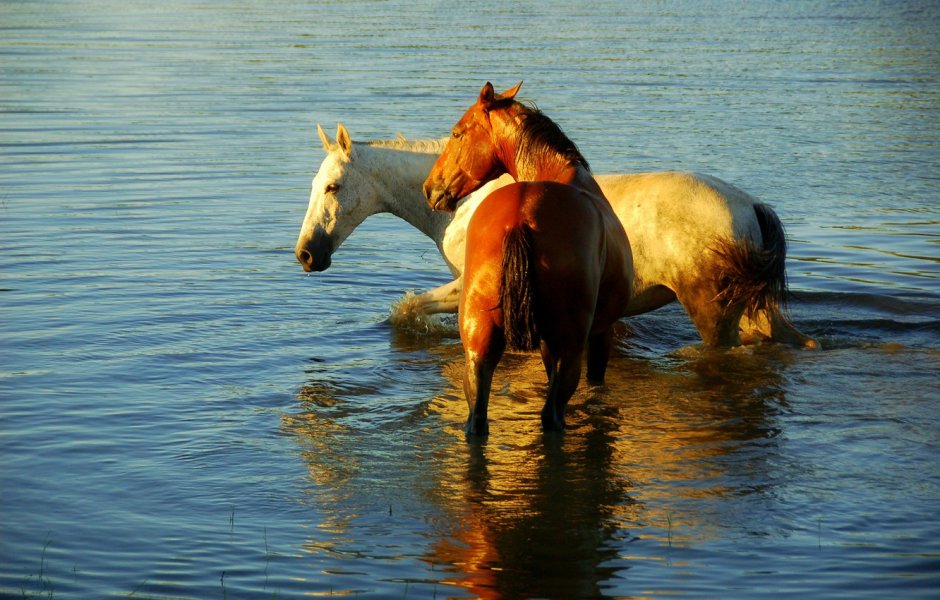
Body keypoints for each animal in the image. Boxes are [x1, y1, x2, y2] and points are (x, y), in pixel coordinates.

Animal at [296, 128, 817, 348]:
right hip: (753, 307)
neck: (471, 200)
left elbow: (407, 309)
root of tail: (749, 206)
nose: (306, 254)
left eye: (333, 186)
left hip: (714, 311)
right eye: (314, 184)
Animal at [422, 81, 634, 435]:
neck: (562, 172)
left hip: (479, 345)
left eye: (456, 133)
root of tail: (521, 216)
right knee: (552, 415)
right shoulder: (600, 333)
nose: (429, 188)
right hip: (567, 349)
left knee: (477, 417)